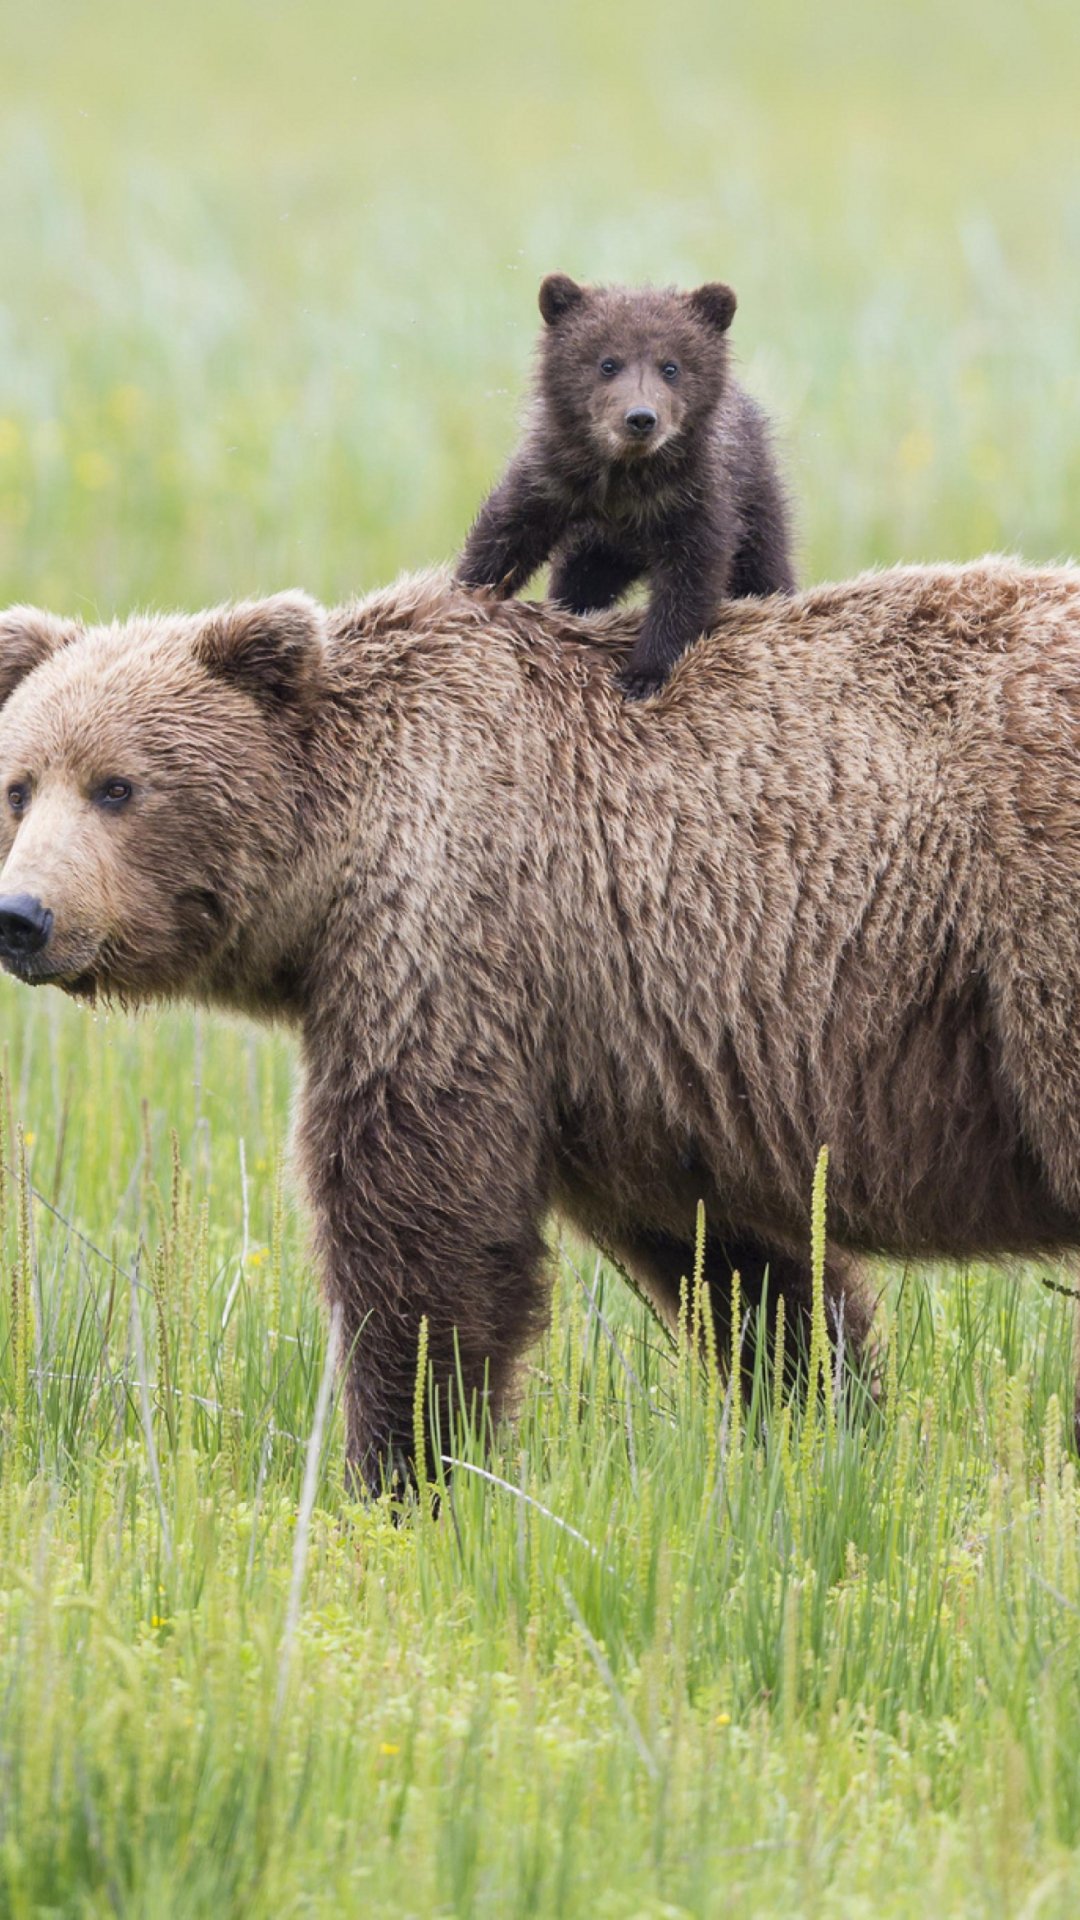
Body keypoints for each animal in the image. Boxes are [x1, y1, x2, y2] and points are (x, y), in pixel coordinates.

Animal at [0, 556, 1068, 1482]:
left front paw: (403, 1470)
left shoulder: (455, 940)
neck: (337, 863)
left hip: (1035, 942)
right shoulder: (649, 1057)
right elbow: (738, 1263)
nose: (23, 915)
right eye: (19, 784)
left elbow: (419, 1229)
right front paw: (827, 1426)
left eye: (118, 785)